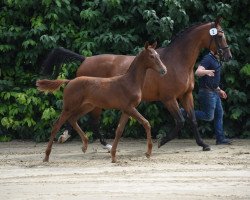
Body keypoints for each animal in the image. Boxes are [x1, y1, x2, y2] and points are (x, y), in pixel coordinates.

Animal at [36, 42, 166, 162]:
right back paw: (46, 156)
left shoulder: (126, 110)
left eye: (158, 55)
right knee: (56, 125)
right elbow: (146, 123)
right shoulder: (129, 108)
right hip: (69, 107)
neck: (130, 82)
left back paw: (84, 145)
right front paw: (148, 153)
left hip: (87, 106)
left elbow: (119, 130)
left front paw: (113, 156)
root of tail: (70, 81)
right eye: (151, 56)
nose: (164, 70)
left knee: (73, 119)